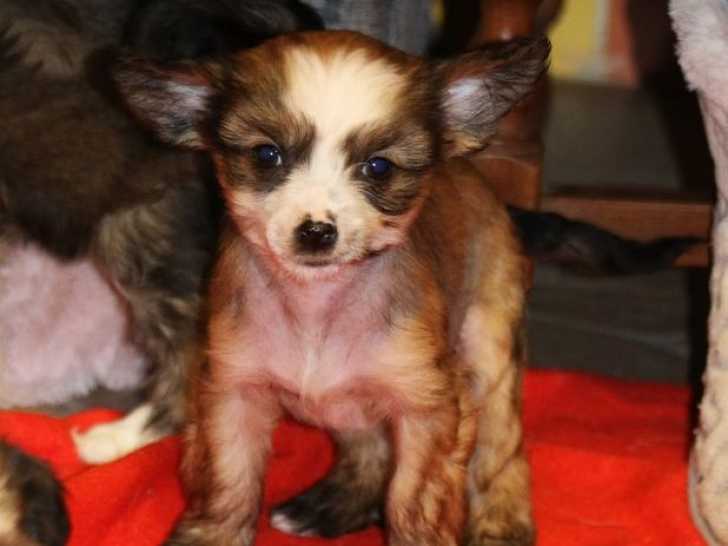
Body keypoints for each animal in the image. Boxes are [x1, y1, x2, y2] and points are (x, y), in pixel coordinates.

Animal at [116, 30, 550, 546]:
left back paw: (501, 523)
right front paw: (212, 536)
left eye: (379, 168)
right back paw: (336, 503)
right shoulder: (233, 390)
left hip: (489, 345)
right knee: (369, 445)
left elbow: (413, 499)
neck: (316, 305)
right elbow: (229, 481)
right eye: (267, 155)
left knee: (501, 449)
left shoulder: (429, 406)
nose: (317, 231)